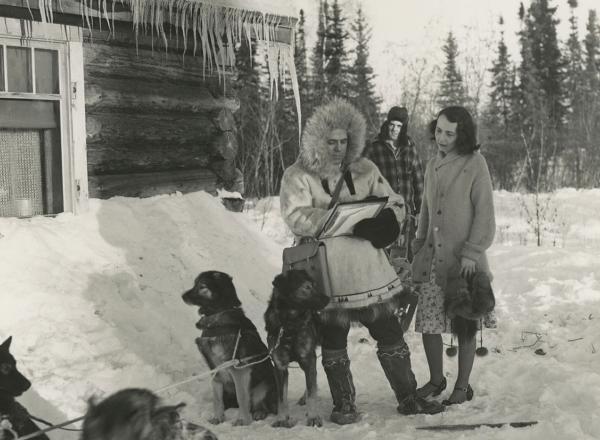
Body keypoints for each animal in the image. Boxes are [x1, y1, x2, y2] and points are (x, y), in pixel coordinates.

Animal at [182, 272, 278, 426]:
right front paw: (218, 418)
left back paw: (259, 413)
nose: (183, 296)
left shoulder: (239, 370)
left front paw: (243, 420)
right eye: (194, 284)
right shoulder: (215, 370)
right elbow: (217, 399)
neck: (217, 317)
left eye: (202, 286)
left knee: (261, 404)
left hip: (264, 385)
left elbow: (242, 397)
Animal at [264, 270, 330, 428]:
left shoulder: (308, 358)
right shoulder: (280, 366)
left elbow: (312, 393)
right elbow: (281, 398)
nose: (328, 299)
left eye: (315, 285)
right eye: (307, 287)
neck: (289, 324)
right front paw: (282, 418)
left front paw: (313, 417)